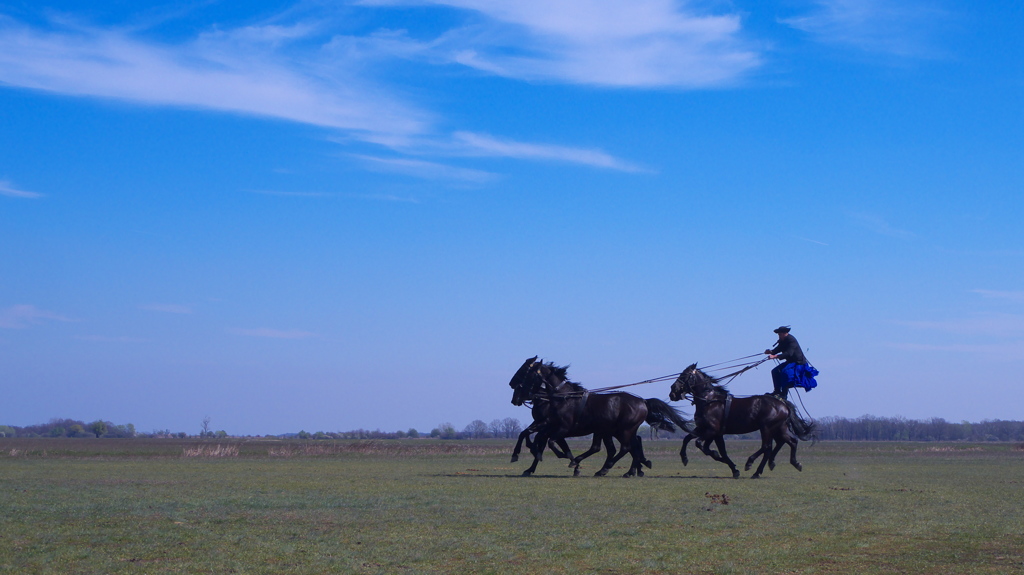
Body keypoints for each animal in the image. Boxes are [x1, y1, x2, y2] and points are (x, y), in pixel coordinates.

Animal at [509, 356, 692, 476]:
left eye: (526, 370)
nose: (513, 387)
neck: (563, 397)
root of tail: (642, 401)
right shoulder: (548, 426)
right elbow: (534, 437)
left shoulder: (561, 428)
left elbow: (549, 442)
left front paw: (568, 461)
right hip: (613, 431)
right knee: (625, 446)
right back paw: (632, 469)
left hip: (622, 429)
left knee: (625, 447)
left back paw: (609, 468)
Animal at [667, 360, 819, 476]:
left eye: (684, 375)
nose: (672, 392)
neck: (709, 401)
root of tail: (782, 403)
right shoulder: (707, 430)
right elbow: (690, 439)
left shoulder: (712, 430)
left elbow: (701, 444)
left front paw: (720, 458)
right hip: (779, 428)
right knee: (789, 442)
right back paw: (790, 464)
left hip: (766, 428)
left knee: (767, 446)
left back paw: (751, 465)